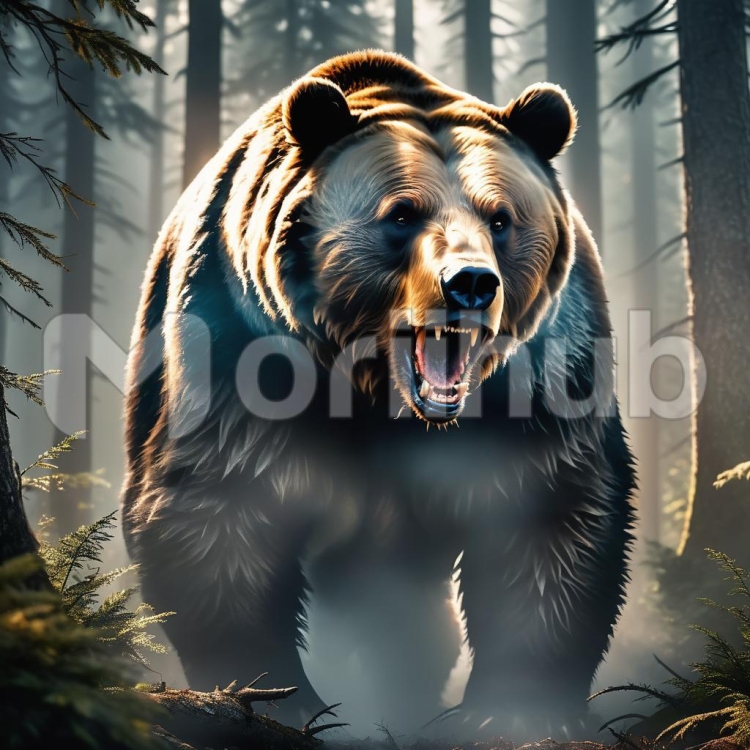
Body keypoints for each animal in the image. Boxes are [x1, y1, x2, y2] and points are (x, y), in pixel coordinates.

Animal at [121, 50, 636, 738]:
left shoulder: (542, 373)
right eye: (401, 214)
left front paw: (512, 709)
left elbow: (549, 509)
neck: (382, 399)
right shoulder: (243, 350)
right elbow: (217, 508)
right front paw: (277, 696)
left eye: (500, 218)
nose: (471, 283)